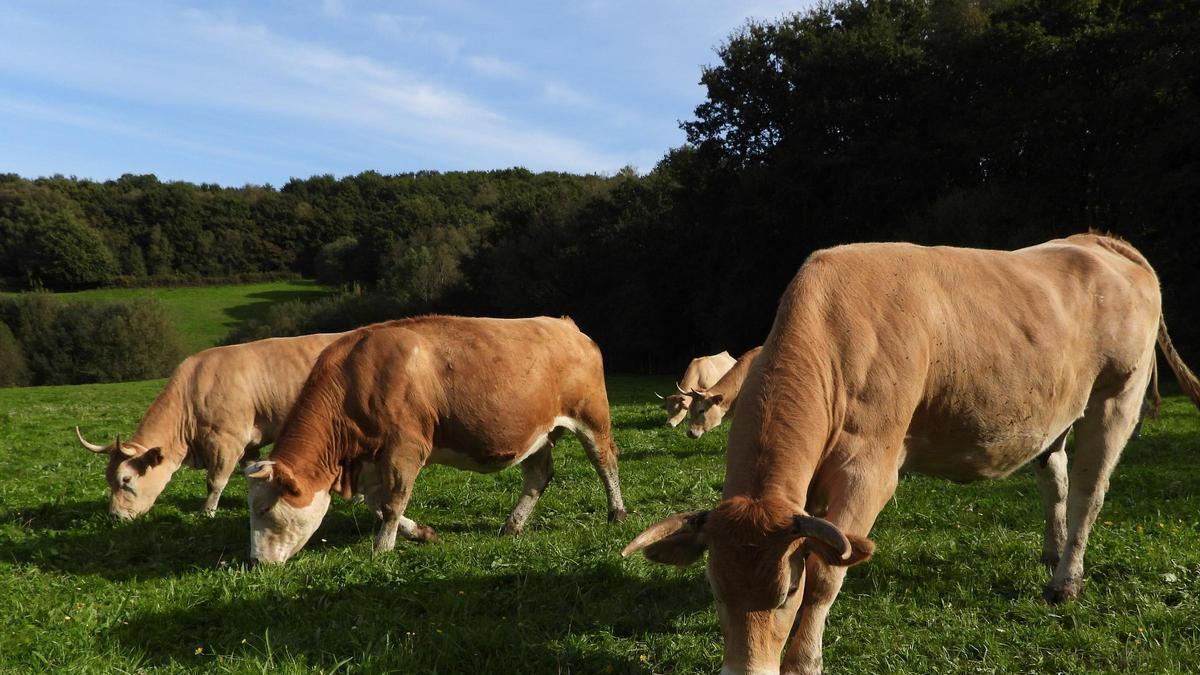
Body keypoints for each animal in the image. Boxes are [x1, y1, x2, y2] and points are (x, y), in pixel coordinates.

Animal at [76, 332, 346, 520]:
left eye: (126, 479)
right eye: (108, 478)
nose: (114, 516)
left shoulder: (226, 442)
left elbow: (215, 482)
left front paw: (206, 513)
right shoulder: (248, 446)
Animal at [243, 315, 626, 565]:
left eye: (263, 509)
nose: (256, 562)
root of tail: (564, 324)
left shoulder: (405, 449)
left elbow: (392, 503)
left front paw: (381, 550)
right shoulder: (371, 460)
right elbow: (377, 504)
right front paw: (421, 533)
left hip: (592, 416)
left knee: (605, 460)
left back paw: (617, 512)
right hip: (537, 433)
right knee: (538, 476)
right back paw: (512, 525)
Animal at [624, 234, 1200, 675]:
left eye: (786, 592)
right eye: (715, 588)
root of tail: (1097, 241)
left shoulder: (869, 472)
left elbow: (829, 570)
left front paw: (805, 660)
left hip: (1117, 395)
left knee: (1088, 491)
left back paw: (1065, 581)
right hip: (1055, 406)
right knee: (1054, 478)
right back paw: (1051, 552)